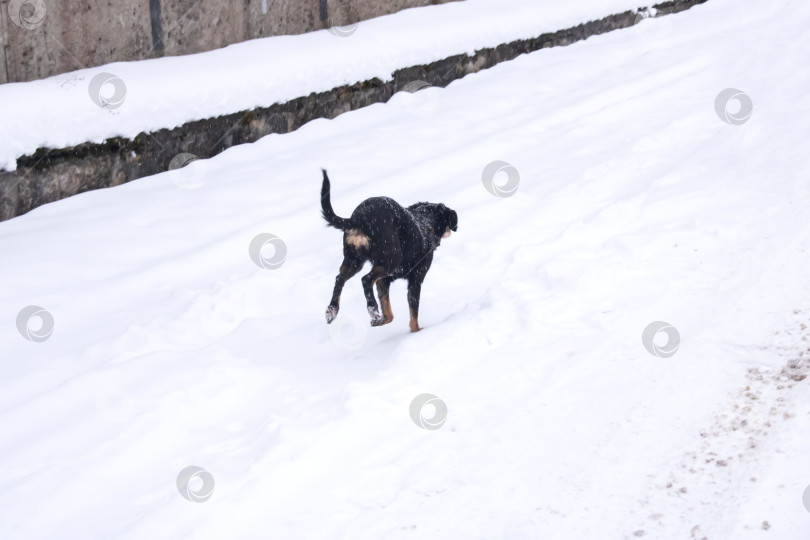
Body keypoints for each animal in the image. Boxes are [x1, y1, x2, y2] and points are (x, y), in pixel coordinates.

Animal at [322, 169, 458, 332]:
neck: (426, 223)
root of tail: (359, 219)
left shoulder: (383, 281)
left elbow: (389, 315)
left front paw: (379, 321)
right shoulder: (415, 280)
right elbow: (413, 316)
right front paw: (417, 332)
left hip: (354, 261)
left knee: (340, 278)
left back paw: (333, 310)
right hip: (391, 260)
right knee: (365, 279)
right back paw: (372, 309)